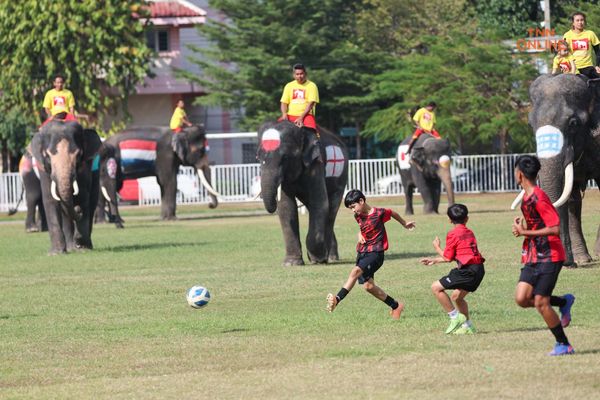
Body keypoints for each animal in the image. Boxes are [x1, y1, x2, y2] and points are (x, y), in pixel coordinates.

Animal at [30, 120, 102, 255]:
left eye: (78, 155)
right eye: (47, 156)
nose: (78, 209)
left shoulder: (85, 167)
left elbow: (83, 196)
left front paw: (81, 245)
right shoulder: (43, 168)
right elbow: (49, 199)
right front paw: (56, 253)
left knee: (92, 202)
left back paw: (83, 246)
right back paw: (70, 247)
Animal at [256, 121, 350, 266]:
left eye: (285, 157)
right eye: (258, 157)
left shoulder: (316, 164)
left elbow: (319, 202)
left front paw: (317, 259)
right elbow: (287, 207)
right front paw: (291, 263)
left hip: (341, 177)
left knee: (331, 210)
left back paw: (329, 257)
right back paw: (330, 256)